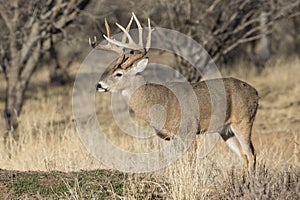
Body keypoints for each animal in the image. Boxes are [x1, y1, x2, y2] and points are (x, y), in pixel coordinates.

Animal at [89, 12, 260, 172]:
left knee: (251, 154)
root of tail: (256, 93)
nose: (99, 85)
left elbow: (191, 162)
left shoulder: (189, 130)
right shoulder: (168, 137)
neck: (157, 103)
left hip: (244, 121)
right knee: (243, 156)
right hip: (226, 130)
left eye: (118, 74)